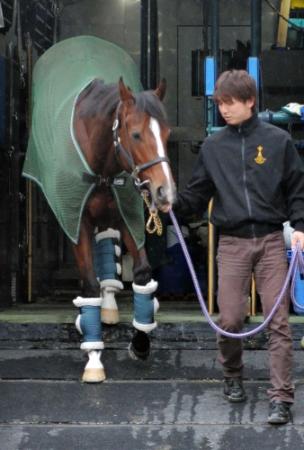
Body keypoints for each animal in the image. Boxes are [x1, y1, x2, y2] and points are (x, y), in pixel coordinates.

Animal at [71, 76, 176, 380]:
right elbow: (89, 284)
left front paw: (141, 341)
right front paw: (94, 358)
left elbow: (142, 273)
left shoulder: (126, 215)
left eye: (167, 134)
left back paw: (108, 305)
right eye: (137, 134)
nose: (165, 192)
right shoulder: (76, 221)